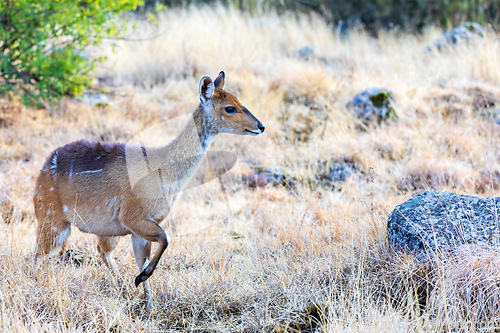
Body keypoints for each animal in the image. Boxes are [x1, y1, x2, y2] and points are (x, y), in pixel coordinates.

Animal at [32, 72, 264, 308]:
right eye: (230, 108)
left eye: (238, 100)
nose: (261, 126)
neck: (166, 171)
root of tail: (44, 168)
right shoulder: (133, 217)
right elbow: (164, 239)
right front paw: (140, 281)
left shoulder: (139, 228)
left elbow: (142, 258)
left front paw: (149, 304)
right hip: (53, 220)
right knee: (39, 255)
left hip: (103, 231)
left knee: (100, 251)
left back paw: (121, 287)